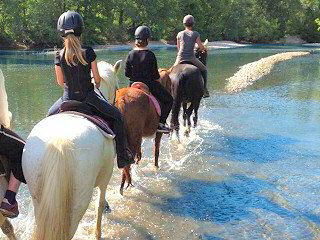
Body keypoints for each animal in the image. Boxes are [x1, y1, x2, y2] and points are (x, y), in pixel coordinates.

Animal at [21, 60, 124, 240]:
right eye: (117, 88)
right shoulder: (106, 176)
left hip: (38, 200)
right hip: (77, 205)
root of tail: (59, 144)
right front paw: (98, 232)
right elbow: (99, 204)